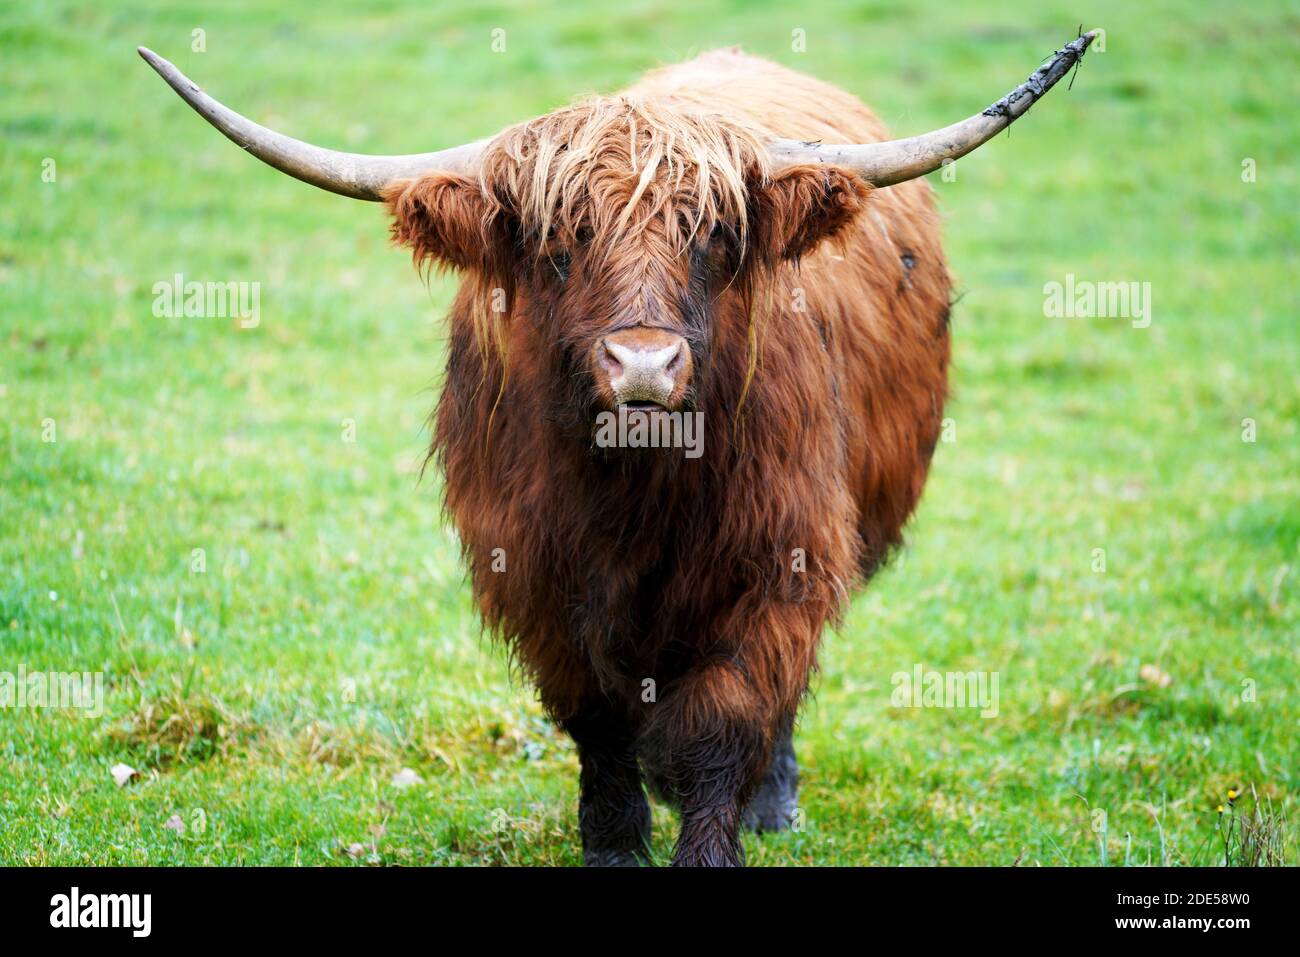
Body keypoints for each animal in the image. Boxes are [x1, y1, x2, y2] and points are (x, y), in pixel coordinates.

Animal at [140, 31, 1095, 866]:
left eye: (714, 236)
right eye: (561, 242)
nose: (642, 363)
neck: (635, 492)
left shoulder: (781, 557)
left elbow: (726, 718)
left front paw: (711, 840)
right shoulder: (533, 573)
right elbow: (595, 720)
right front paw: (612, 843)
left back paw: (772, 801)